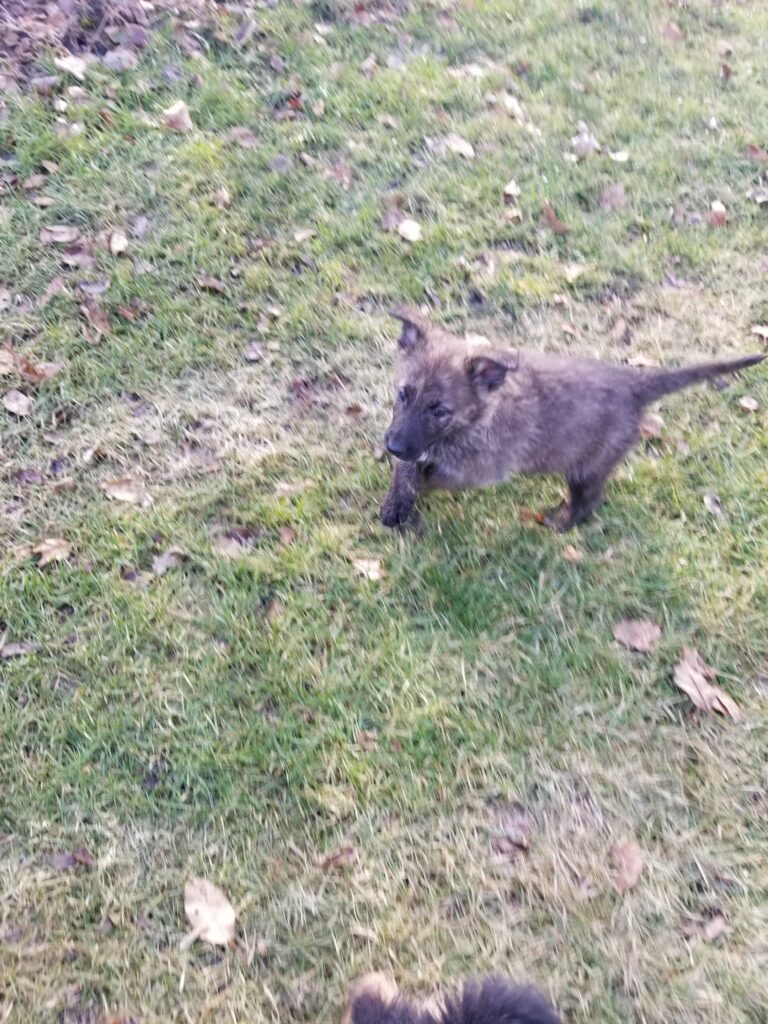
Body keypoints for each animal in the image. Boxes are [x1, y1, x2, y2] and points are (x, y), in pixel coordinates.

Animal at [382, 305, 765, 532]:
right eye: (403, 394)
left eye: (439, 411)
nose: (392, 446)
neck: (475, 420)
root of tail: (633, 385)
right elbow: (408, 468)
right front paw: (398, 500)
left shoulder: (481, 469)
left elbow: (433, 474)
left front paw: (417, 486)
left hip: (588, 466)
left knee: (587, 501)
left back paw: (559, 521)